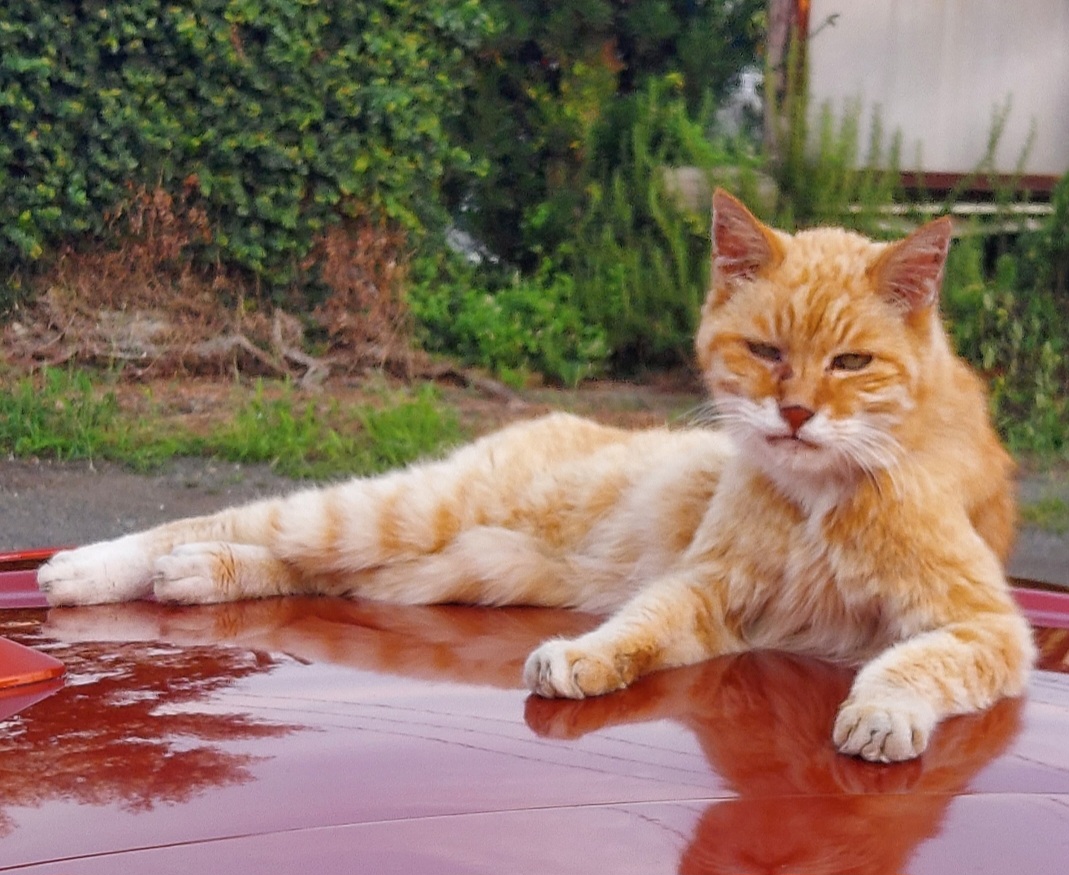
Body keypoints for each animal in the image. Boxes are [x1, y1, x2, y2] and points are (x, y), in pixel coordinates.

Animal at [38, 189, 1035, 762]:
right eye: (763, 351)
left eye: (852, 362)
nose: (793, 413)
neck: (821, 493)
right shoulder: (706, 587)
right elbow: (638, 624)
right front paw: (584, 658)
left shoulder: (981, 625)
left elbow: (916, 661)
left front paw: (883, 713)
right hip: (406, 512)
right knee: (241, 519)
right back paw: (88, 568)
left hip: (445, 568)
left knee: (308, 566)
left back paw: (199, 576)